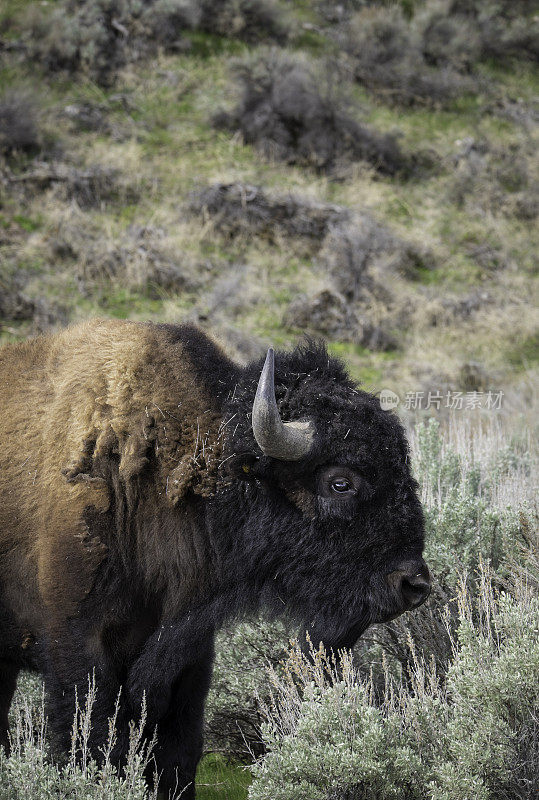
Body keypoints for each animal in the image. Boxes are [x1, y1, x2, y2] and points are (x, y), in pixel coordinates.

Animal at [0, 320, 430, 800]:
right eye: (340, 482)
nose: (413, 584)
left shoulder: (188, 655)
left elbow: (178, 755)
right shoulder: (78, 647)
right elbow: (92, 747)